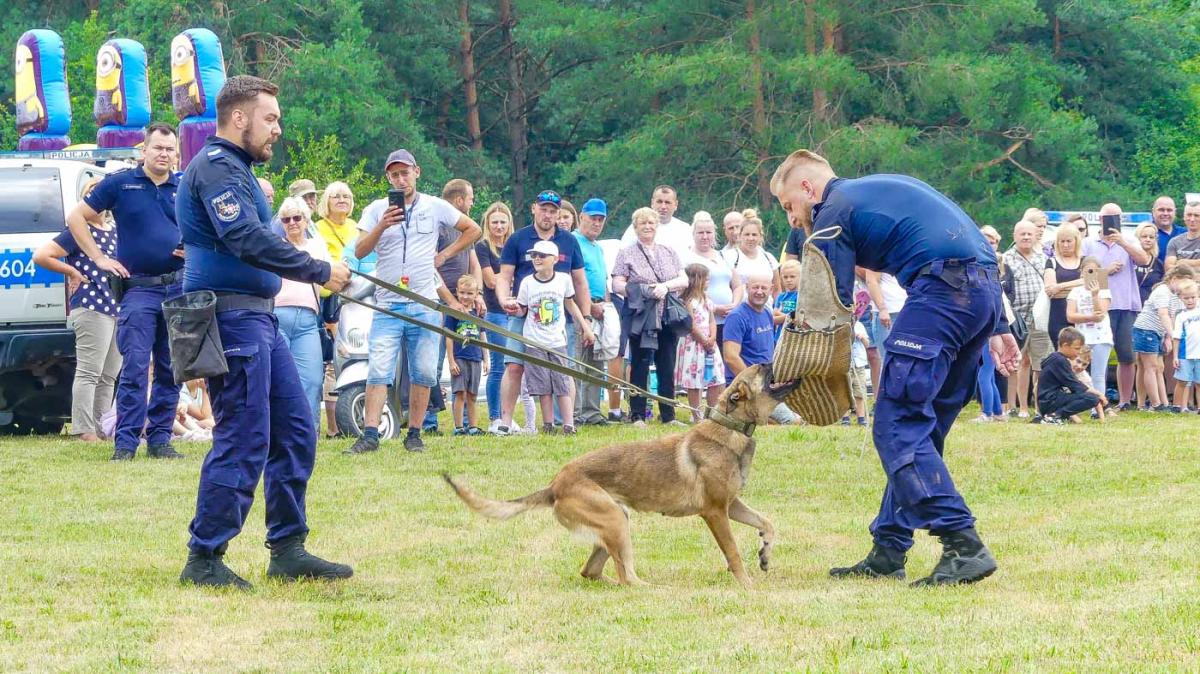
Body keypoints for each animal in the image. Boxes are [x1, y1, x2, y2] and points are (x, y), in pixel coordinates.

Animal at [441, 359, 796, 585]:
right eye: (761, 369)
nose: (772, 358)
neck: (730, 428)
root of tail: (555, 484)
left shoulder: (731, 505)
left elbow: (768, 522)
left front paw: (765, 552)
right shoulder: (715, 512)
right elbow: (733, 551)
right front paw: (746, 584)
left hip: (615, 519)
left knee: (592, 573)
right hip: (614, 520)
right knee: (628, 578)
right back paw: (657, 590)